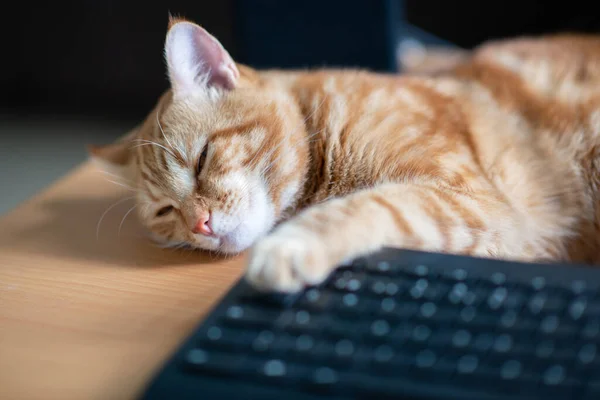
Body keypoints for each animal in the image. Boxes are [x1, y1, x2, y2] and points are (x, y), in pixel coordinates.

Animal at [89, 17, 600, 292]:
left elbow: (372, 205)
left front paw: (290, 246)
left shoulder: (477, 202)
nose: (201, 225)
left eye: (202, 159)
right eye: (165, 211)